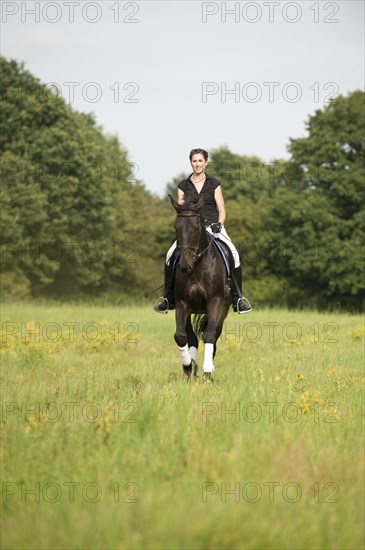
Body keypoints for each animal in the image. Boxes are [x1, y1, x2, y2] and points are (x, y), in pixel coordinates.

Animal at [168, 195, 230, 384]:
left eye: (196, 227)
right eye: (176, 227)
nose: (184, 266)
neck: (197, 266)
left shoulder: (215, 302)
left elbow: (209, 335)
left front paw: (207, 371)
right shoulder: (182, 304)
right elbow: (181, 336)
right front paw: (188, 366)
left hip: (223, 309)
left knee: (214, 335)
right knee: (192, 338)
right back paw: (193, 366)